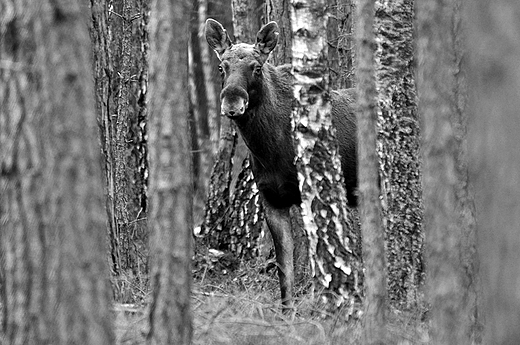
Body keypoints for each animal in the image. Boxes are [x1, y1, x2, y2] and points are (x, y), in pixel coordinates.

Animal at [205, 18, 360, 310]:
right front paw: (288, 312)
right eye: (222, 66)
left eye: (256, 67)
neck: (270, 149)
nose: (232, 102)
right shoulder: (272, 199)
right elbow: (284, 271)